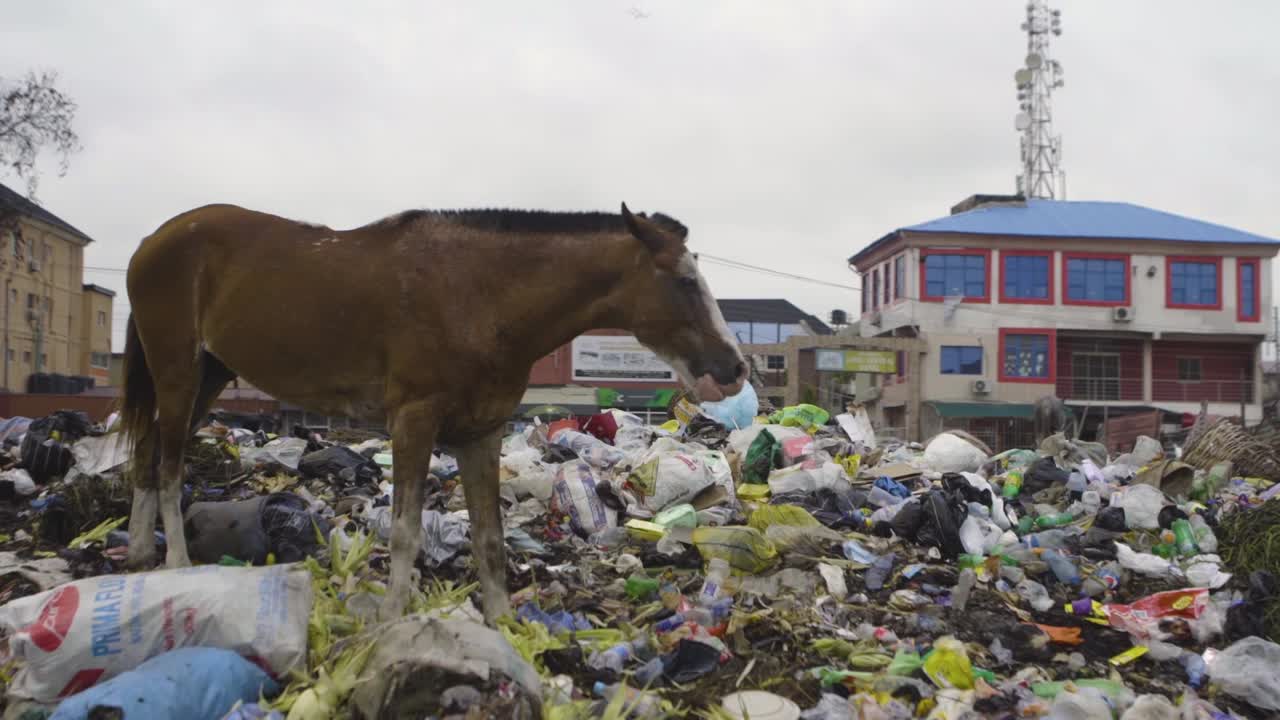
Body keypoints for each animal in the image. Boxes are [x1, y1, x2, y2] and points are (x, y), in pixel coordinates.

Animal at [119, 202, 747, 623]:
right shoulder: (413, 422)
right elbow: (403, 532)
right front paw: (395, 615)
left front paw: (505, 625)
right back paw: (175, 562)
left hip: (209, 375)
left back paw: (138, 551)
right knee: (169, 466)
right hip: (177, 373)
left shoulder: (483, 432)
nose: (734, 369)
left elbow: (490, 539)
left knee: (148, 456)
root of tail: (153, 239)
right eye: (685, 281)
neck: (478, 294)